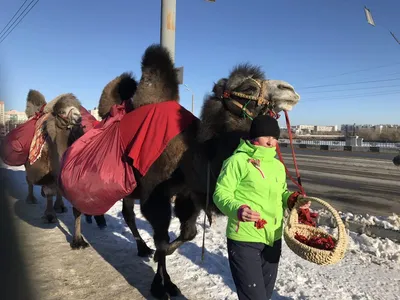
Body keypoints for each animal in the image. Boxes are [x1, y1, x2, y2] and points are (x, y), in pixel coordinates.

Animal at [69, 43, 300, 298]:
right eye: (248, 87)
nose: (289, 89)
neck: (193, 156)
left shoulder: (187, 193)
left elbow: (188, 234)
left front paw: (164, 271)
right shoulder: (155, 194)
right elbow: (162, 238)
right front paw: (161, 286)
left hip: (129, 187)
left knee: (128, 214)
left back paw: (141, 248)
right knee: (79, 204)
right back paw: (79, 240)